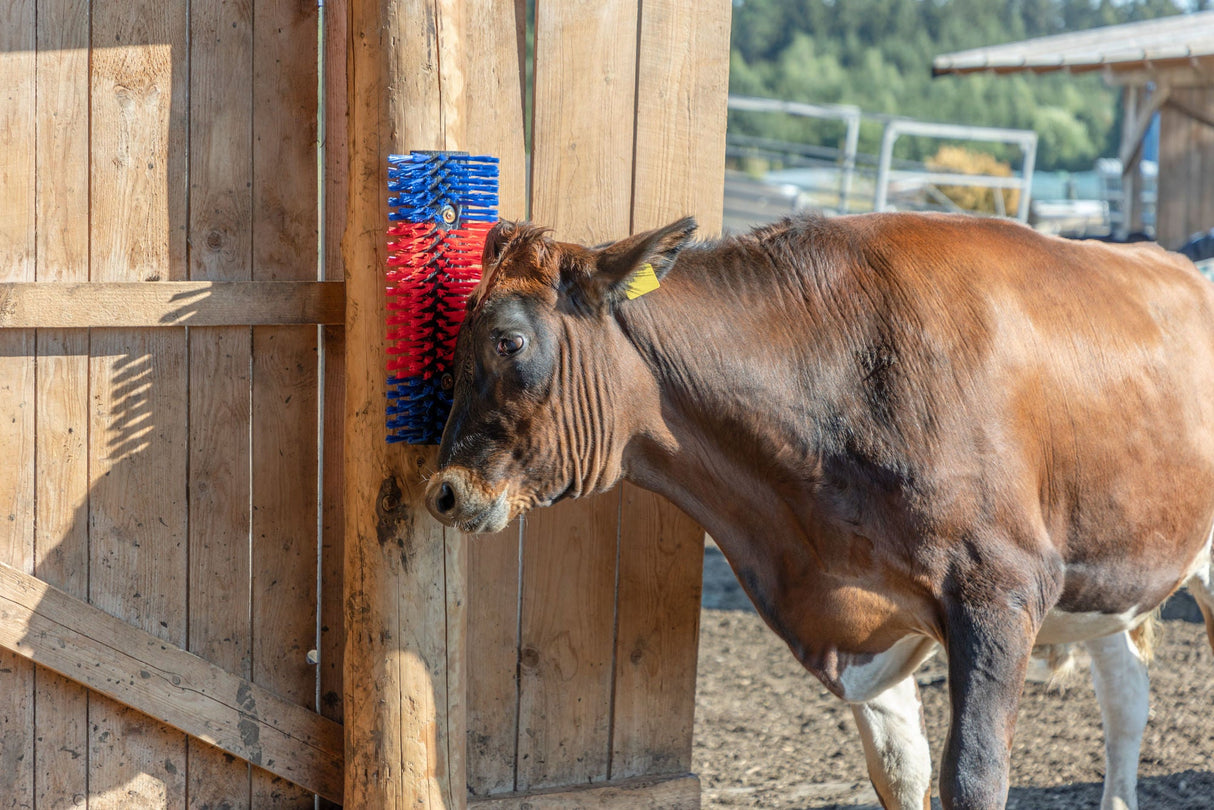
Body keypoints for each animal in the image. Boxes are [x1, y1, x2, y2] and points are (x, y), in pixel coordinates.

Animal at [424, 212, 1214, 806]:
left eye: (508, 340)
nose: (444, 491)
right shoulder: (863, 614)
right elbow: (901, 773)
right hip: (1113, 568)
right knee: (1126, 695)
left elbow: (973, 777)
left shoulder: (1001, 591)